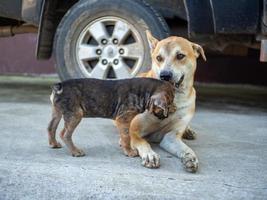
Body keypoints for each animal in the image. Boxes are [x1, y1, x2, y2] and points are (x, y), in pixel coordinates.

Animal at [47, 77, 176, 159]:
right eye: (168, 105)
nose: (169, 114)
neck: (143, 93)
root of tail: (59, 85)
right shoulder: (123, 119)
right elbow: (126, 137)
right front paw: (129, 152)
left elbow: (125, 136)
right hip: (75, 114)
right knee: (65, 134)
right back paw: (75, 151)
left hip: (57, 112)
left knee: (51, 127)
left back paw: (54, 144)